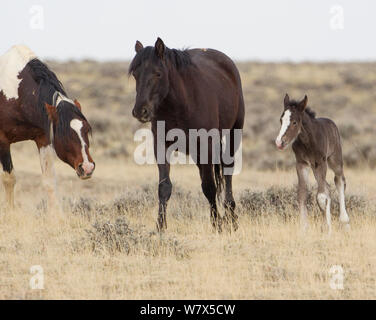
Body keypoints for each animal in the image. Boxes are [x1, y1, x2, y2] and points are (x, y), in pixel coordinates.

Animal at [0, 45, 95, 210]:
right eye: (65, 133)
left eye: (87, 129)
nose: (87, 167)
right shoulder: (3, 142)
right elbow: (9, 179)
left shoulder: (42, 139)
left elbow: (49, 181)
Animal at [129, 38, 245, 231]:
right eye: (135, 74)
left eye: (158, 74)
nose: (140, 111)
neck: (180, 104)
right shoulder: (161, 146)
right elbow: (164, 187)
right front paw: (160, 227)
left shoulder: (205, 146)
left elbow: (209, 187)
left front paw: (217, 224)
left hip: (233, 133)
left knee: (227, 171)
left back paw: (231, 216)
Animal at [274, 94, 352, 234]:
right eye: (281, 120)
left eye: (294, 122)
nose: (279, 142)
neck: (308, 140)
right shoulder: (301, 164)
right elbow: (302, 194)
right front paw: (304, 228)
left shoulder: (321, 162)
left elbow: (321, 196)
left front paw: (328, 230)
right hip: (315, 167)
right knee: (327, 186)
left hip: (334, 160)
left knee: (339, 180)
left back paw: (345, 222)